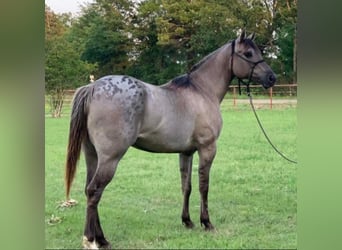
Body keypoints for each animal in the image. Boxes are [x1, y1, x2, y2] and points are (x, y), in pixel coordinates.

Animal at [65, 30, 276, 248]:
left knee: (90, 190)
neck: (202, 91)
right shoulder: (207, 149)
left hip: (92, 156)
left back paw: (101, 238)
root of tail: (93, 87)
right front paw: (206, 222)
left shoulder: (186, 152)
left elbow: (186, 186)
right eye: (248, 53)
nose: (271, 77)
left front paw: (187, 221)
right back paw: (91, 239)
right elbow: (203, 186)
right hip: (110, 159)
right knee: (94, 191)